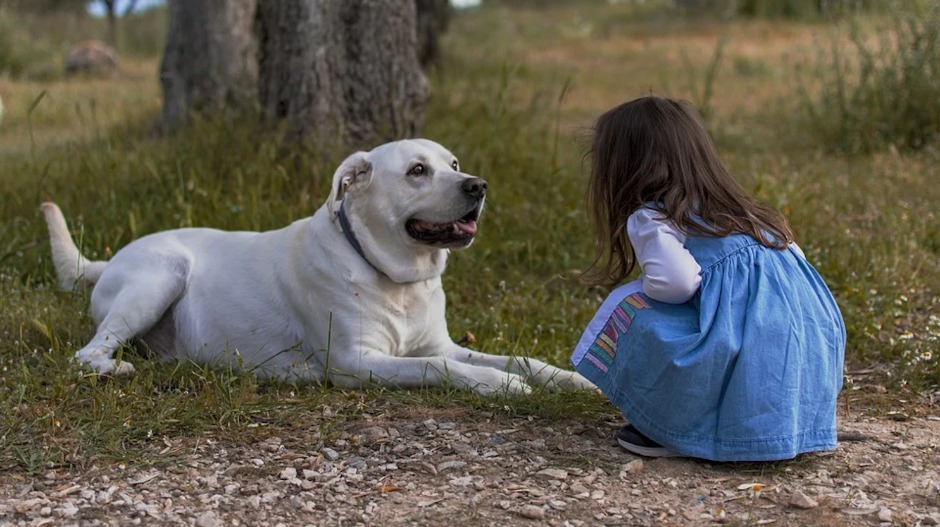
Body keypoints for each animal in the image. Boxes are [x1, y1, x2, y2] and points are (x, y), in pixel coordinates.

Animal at [44, 138, 592, 394]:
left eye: (453, 165)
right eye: (417, 170)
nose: (478, 186)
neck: (396, 279)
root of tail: (108, 260)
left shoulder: (442, 343)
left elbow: (520, 358)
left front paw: (569, 379)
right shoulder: (356, 362)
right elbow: (438, 368)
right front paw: (499, 386)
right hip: (160, 275)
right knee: (86, 353)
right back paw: (111, 369)